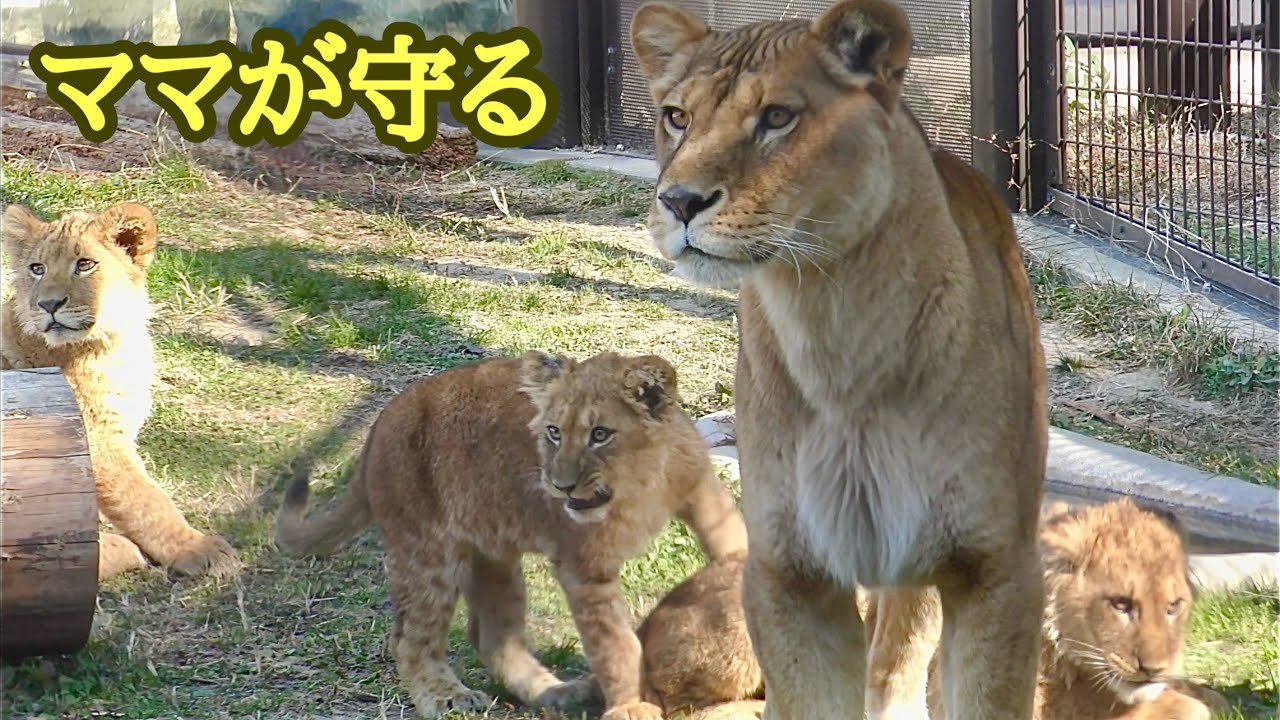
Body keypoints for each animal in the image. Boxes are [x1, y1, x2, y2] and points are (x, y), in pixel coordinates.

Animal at [1, 202, 241, 580]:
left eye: (85, 264)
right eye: (37, 269)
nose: (48, 305)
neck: (115, 342)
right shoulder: (94, 438)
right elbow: (144, 499)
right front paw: (199, 549)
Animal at [273, 350, 749, 720]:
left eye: (600, 434)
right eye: (553, 432)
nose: (560, 486)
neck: (640, 487)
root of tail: (377, 428)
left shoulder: (705, 494)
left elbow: (735, 544)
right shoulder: (583, 568)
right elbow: (615, 644)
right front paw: (630, 705)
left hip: (494, 555)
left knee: (492, 638)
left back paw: (559, 693)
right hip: (428, 551)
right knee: (410, 638)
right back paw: (447, 697)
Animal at [630, 1, 1049, 718]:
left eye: (777, 117)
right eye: (677, 117)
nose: (679, 202)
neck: (831, 318)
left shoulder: (995, 568)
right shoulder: (788, 574)